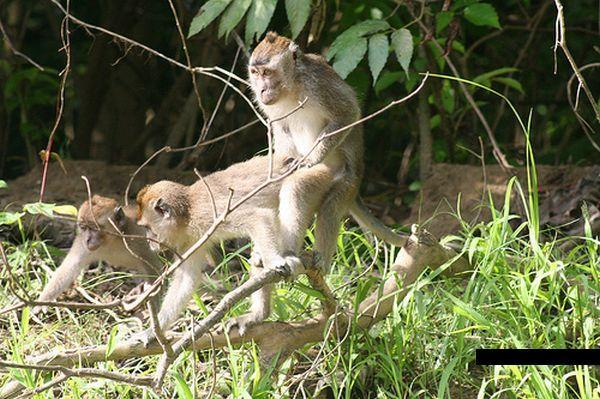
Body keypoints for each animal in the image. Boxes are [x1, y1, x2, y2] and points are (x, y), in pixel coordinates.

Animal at [33, 197, 162, 316]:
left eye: (94, 228)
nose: (88, 239)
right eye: (84, 227)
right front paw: (43, 302)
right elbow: (69, 267)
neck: (112, 240)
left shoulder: (139, 237)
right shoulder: (81, 242)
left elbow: (154, 271)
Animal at [136, 155, 332, 338]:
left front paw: (275, 261)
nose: (149, 241)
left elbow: (258, 217)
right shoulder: (190, 241)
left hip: (315, 178)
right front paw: (154, 330)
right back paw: (259, 315)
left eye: (147, 228)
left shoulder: (210, 214)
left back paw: (291, 256)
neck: (187, 214)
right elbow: (186, 279)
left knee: (296, 189)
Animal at [246, 32, 406, 276]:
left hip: (345, 181)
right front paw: (279, 168)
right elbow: (282, 132)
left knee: (316, 198)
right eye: (255, 73)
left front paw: (310, 160)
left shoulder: (317, 84)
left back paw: (306, 258)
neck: (291, 87)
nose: (261, 90)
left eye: (267, 73)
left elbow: (348, 113)